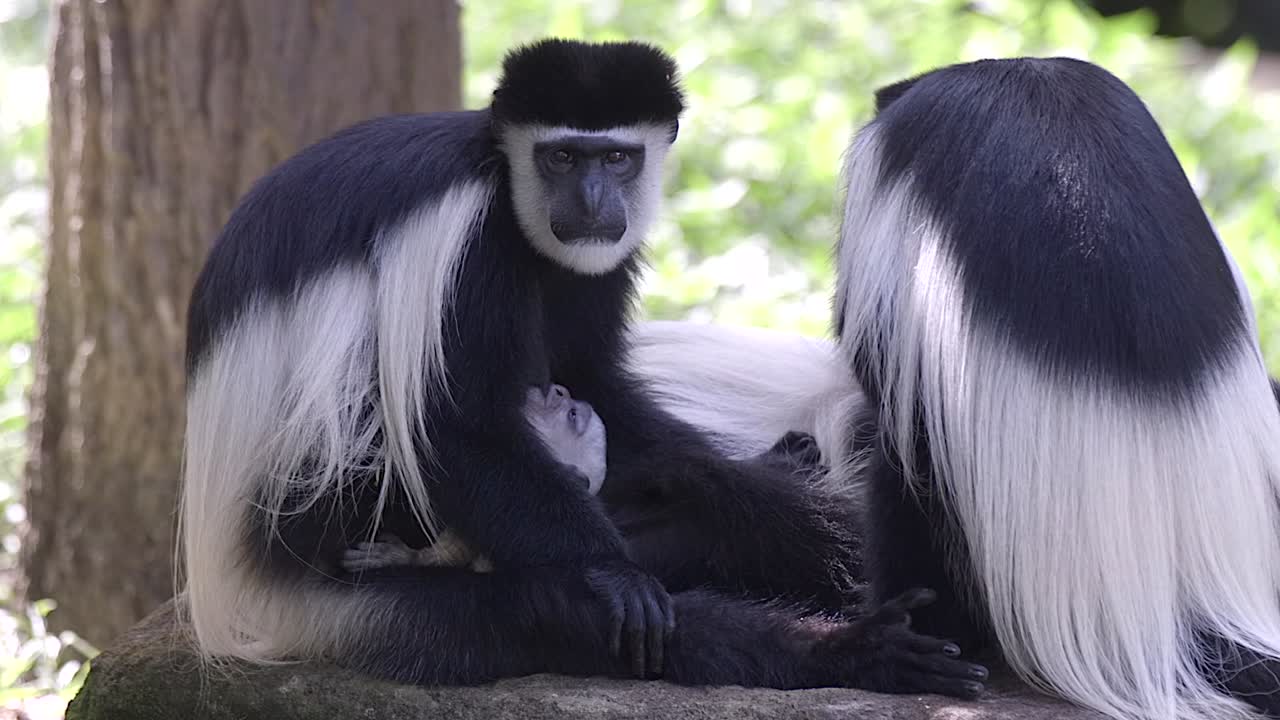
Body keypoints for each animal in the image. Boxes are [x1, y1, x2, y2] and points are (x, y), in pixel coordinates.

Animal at [179, 38, 987, 695]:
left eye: (617, 157)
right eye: (562, 156)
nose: (594, 200)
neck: (505, 183)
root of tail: (233, 597)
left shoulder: (597, 257)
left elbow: (595, 376)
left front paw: (757, 480)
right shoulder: (468, 235)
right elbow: (457, 428)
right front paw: (615, 574)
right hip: (340, 566)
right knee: (547, 611)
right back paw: (853, 652)